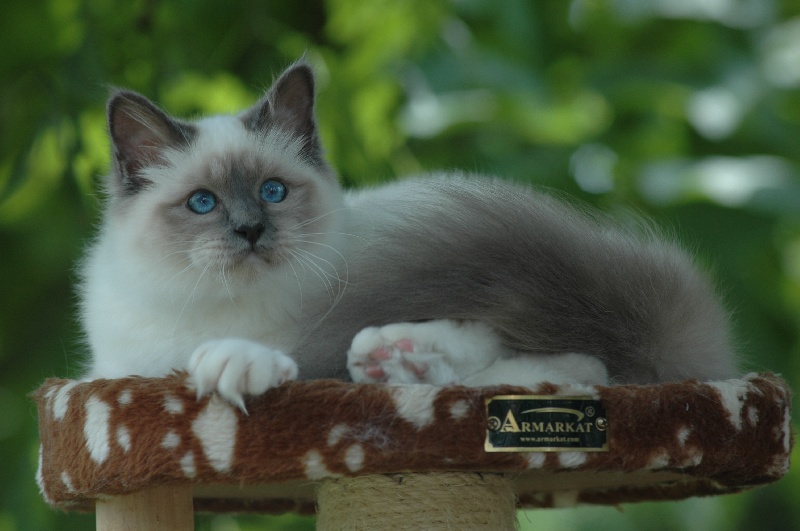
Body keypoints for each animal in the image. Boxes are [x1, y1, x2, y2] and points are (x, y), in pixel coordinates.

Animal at [78, 59, 736, 412]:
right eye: (202, 203)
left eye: (273, 192)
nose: (250, 230)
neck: (229, 310)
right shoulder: (117, 374)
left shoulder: (318, 322)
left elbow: (282, 359)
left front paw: (235, 364)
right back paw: (395, 364)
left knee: (559, 364)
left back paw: (398, 360)